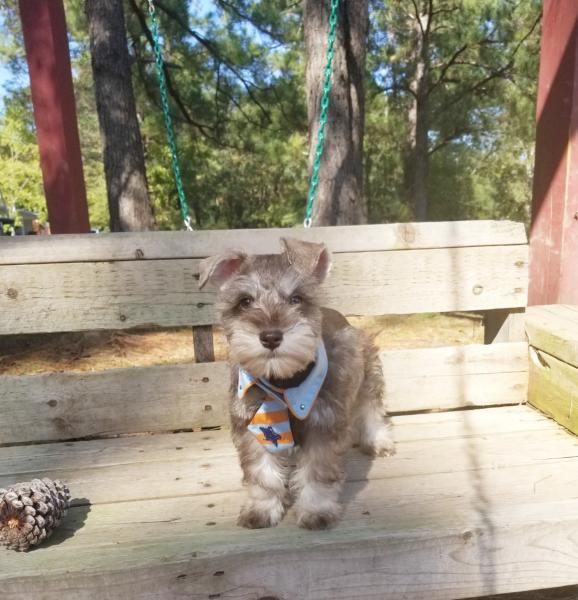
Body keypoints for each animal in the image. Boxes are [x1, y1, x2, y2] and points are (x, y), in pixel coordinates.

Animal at [197, 239, 392, 528]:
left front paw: (316, 510)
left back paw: (379, 441)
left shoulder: (323, 425)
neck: (283, 382)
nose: (270, 336)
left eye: (296, 299)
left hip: (368, 373)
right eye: (244, 301)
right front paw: (261, 509)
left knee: (371, 409)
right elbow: (262, 474)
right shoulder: (253, 427)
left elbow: (317, 473)